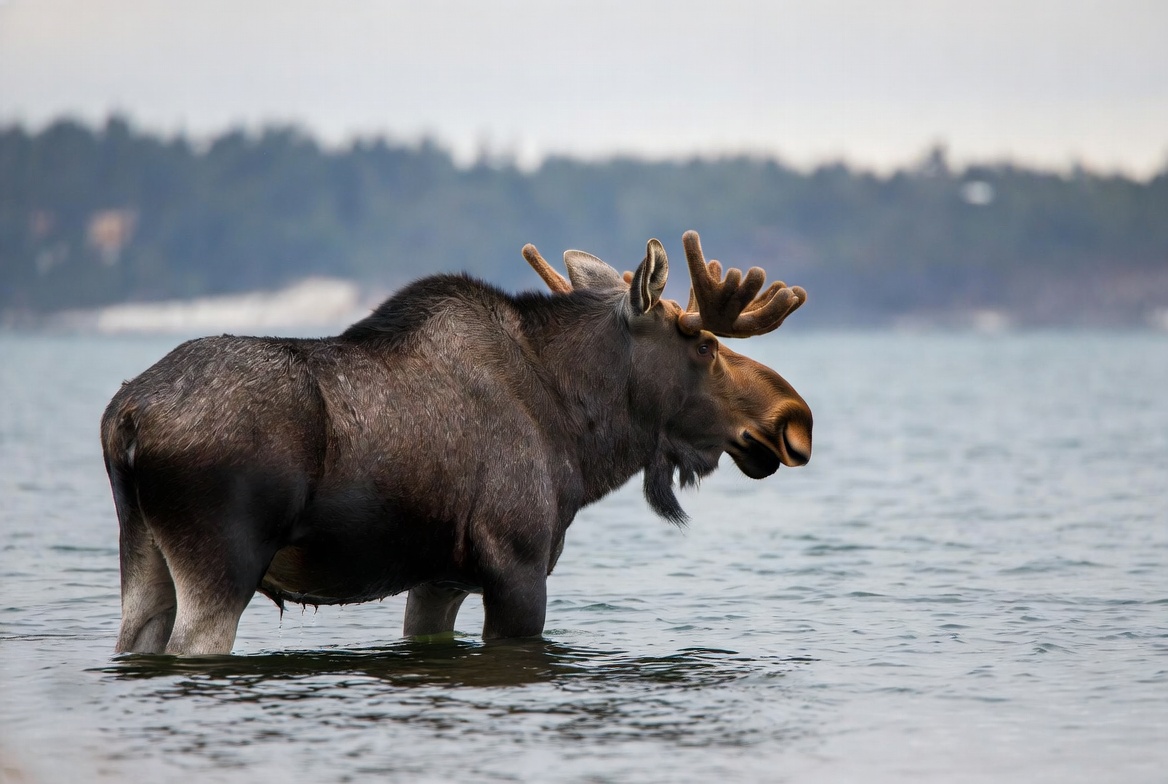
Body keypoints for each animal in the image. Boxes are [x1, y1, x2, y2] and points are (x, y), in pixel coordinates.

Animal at [101, 230, 812, 655]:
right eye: (704, 343)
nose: (792, 418)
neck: (580, 442)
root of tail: (126, 417)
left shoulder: (437, 579)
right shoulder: (519, 564)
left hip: (143, 552)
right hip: (225, 560)